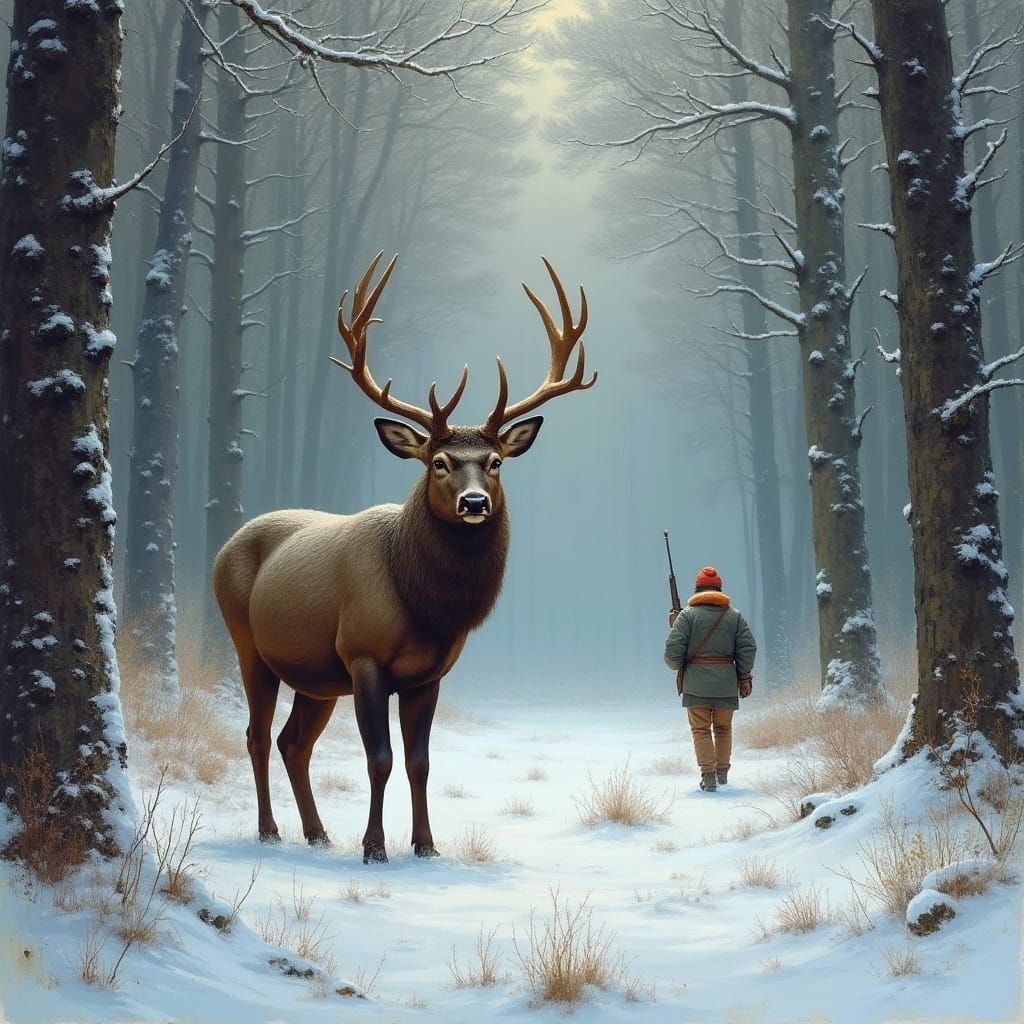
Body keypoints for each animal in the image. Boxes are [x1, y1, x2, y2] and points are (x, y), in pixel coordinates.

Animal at [212, 252, 595, 864]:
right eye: (438, 462)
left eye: (495, 462)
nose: (474, 503)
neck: (425, 606)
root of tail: (225, 546)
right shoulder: (363, 653)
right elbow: (380, 759)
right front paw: (374, 847)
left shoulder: (428, 675)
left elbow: (420, 762)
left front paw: (425, 845)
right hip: (248, 641)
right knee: (256, 734)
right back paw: (270, 830)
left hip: (316, 675)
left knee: (293, 742)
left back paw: (317, 833)